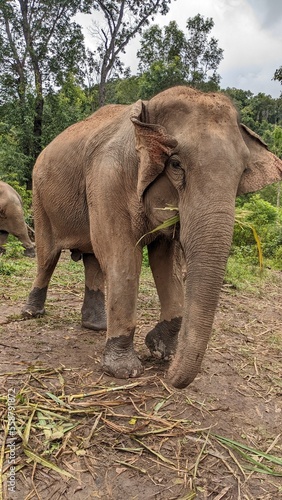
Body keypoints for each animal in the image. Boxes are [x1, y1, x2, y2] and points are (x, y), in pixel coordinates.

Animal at [22, 88, 282, 388]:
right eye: (176, 164)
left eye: (242, 173)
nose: (170, 377)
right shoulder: (106, 178)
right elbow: (123, 258)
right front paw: (125, 370)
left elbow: (165, 262)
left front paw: (160, 350)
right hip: (40, 199)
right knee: (48, 257)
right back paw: (31, 313)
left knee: (92, 259)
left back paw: (97, 327)